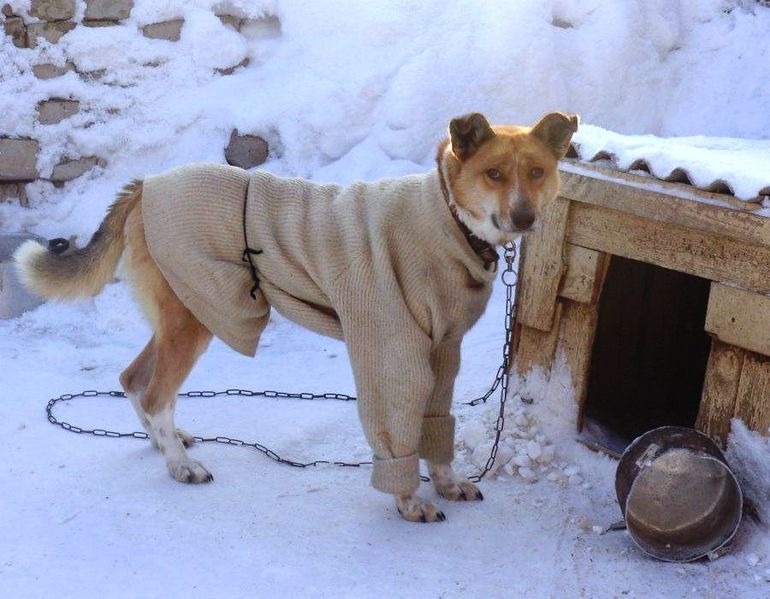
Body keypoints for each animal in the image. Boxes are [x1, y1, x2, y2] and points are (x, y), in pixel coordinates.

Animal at [15, 111, 576, 520]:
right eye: (494, 174)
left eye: (537, 172)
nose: (525, 217)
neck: (447, 217)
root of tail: (146, 184)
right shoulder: (391, 354)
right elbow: (398, 431)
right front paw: (409, 501)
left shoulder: (444, 352)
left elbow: (437, 428)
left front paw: (446, 483)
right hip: (197, 316)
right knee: (155, 393)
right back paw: (180, 465)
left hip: (185, 312)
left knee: (134, 380)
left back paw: (163, 441)